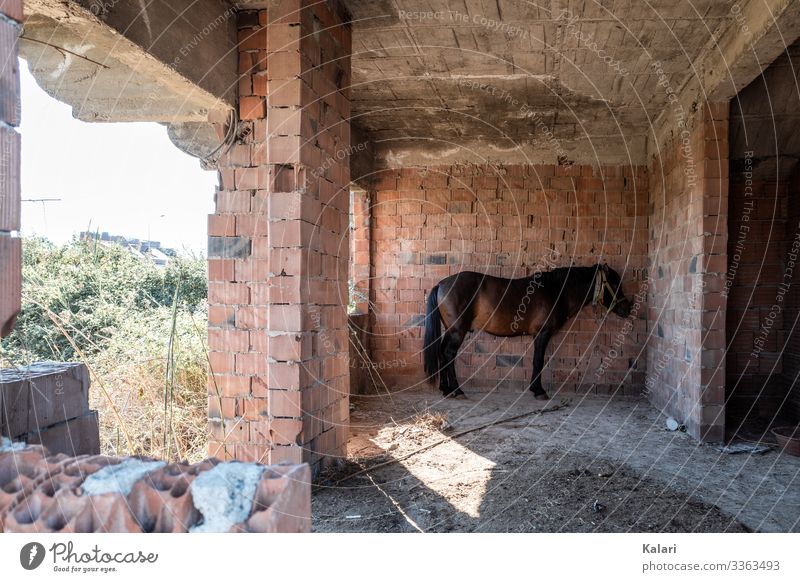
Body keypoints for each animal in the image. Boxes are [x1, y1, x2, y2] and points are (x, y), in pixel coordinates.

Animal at [422, 266, 636, 400]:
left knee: (442, 353)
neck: (556, 291)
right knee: (449, 354)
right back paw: (457, 391)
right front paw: (539, 390)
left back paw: (446, 389)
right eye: (615, 284)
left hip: (450, 330)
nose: (627, 308)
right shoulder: (542, 334)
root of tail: (441, 284)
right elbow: (538, 361)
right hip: (458, 330)